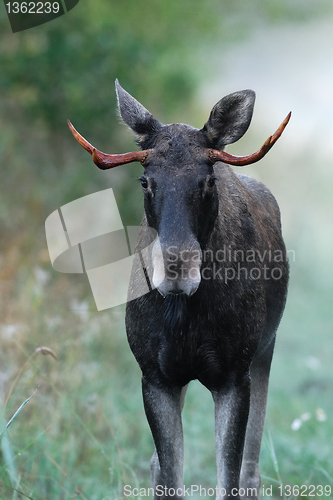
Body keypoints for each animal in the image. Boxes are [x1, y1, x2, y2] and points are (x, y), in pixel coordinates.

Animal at [67, 82, 288, 500]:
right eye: (145, 180)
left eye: (209, 179)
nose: (176, 266)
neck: (185, 316)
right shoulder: (155, 375)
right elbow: (169, 475)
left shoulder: (235, 375)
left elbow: (229, 480)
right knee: (157, 464)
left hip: (265, 352)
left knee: (252, 469)